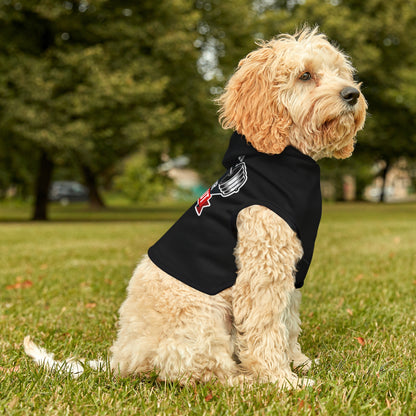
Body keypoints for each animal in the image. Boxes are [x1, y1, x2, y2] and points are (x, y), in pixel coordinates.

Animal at [24, 27, 366, 388]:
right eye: (305, 75)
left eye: (340, 72)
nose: (352, 94)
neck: (283, 157)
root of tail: (122, 359)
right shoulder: (262, 269)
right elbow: (266, 327)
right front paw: (281, 380)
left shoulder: (291, 270)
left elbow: (288, 322)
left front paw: (298, 363)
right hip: (203, 317)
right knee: (200, 371)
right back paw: (244, 380)